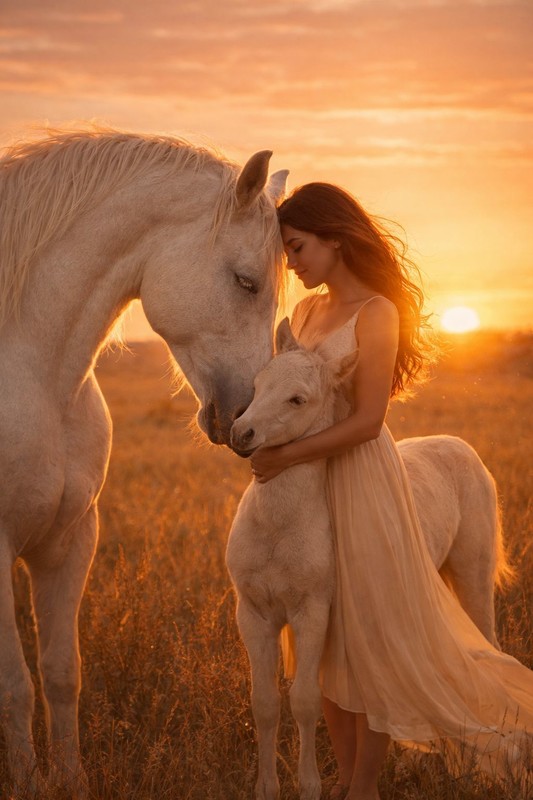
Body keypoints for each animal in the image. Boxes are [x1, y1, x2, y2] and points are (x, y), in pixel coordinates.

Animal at [0, 126, 288, 796]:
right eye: (246, 282)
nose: (247, 419)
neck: (37, 379)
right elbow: (16, 686)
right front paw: (26, 782)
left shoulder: (71, 540)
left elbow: (61, 673)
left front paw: (71, 780)